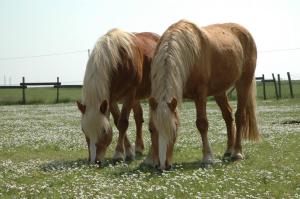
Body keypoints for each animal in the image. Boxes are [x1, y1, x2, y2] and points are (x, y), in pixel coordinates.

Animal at [77, 28, 159, 164]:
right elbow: (117, 121)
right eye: (84, 130)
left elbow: (123, 123)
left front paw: (119, 154)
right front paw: (129, 151)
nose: (94, 161)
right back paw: (139, 148)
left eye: (104, 131)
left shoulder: (129, 94)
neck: (118, 60)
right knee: (138, 118)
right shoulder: (111, 99)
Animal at [149, 19, 258, 169]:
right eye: (151, 130)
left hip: (244, 82)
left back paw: (237, 153)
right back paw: (228, 151)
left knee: (239, 116)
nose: (163, 166)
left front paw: (207, 158)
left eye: (175, 128)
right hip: (220, 91)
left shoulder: (200, 94)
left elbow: (202, 124)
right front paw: (150, 159)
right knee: (228, 116)